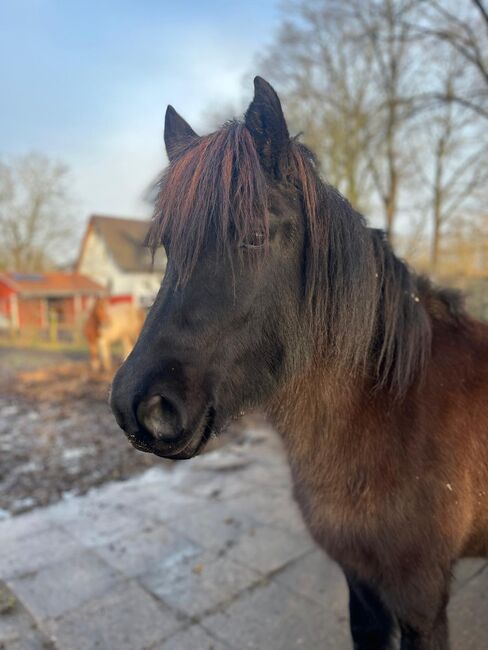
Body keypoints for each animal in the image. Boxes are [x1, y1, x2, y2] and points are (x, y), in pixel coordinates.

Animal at [110, 73, 488, 644]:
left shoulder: (423, 603)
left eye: (254, 236)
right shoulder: (362, 588)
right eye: (170, 246)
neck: (394, 412)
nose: (140, 406)